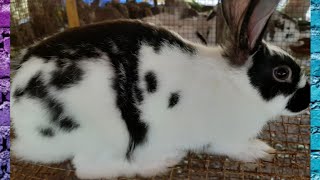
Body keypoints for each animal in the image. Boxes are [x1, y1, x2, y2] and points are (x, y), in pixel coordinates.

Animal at [10, 0, 310, 179]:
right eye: (282, 73)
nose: (307, 101)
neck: (237, 85)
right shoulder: (222, 138)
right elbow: (232, 147)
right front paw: (259, 151)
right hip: (107, 134)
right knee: (91, 169)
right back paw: (161, 162)